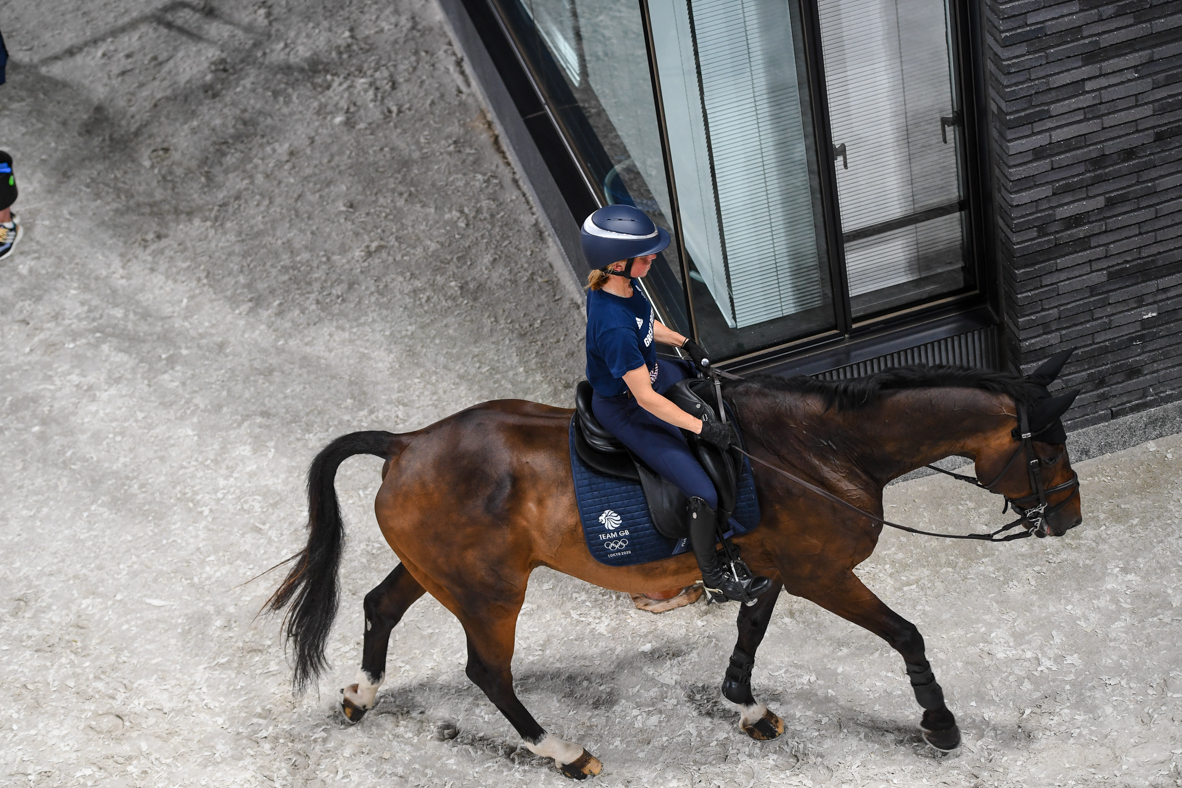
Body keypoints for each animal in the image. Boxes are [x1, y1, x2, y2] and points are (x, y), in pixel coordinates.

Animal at [267, 357, 1082, 779]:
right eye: (1044, 455)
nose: (1069, 519)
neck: (817, 450)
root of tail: (406, 443)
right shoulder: (822, 574)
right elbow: (906, 634)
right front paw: (939, 723)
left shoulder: (770, 569)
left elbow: (748, 638)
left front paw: (746, 708)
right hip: (490, 590)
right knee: (488, 672)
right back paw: (562, 751)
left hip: (441, 572)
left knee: (380, 607)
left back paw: (361, 696)